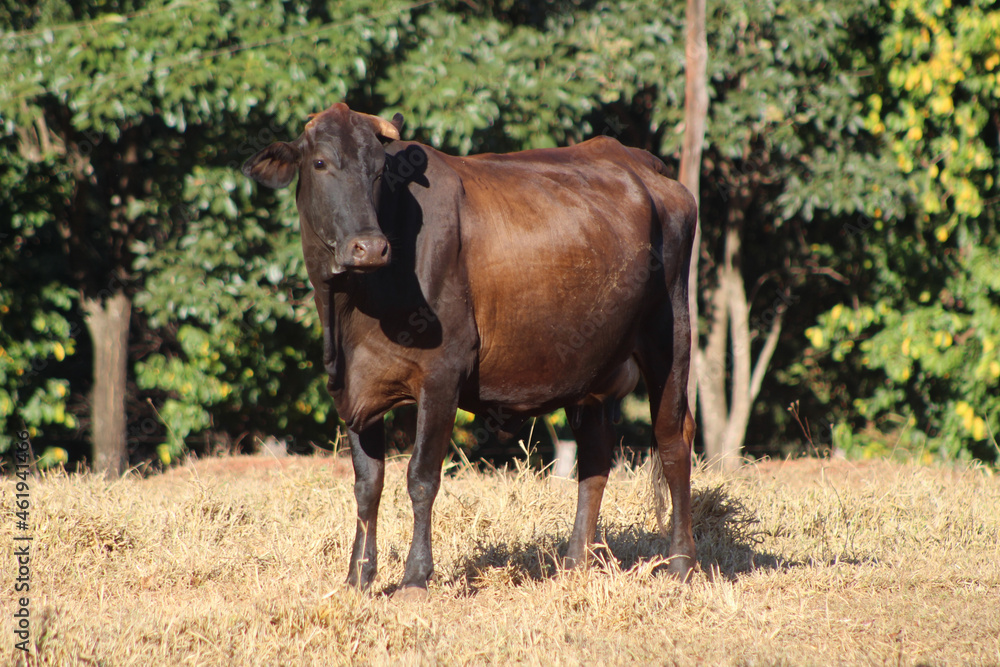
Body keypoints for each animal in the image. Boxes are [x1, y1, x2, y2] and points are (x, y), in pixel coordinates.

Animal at [242, 103, 698, 599]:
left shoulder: (443, 374)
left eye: (380, 170)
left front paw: (414, 579)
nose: (371, 247)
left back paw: (681, 566)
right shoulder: (355, 390)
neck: (347, 315)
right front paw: (357, 577)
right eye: (321, 163)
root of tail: (639, 163)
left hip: (670, 336)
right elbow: (367, 485)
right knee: (595, 458)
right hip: (594, 366)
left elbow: (421, 478)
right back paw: (574, 565)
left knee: (674, 442)